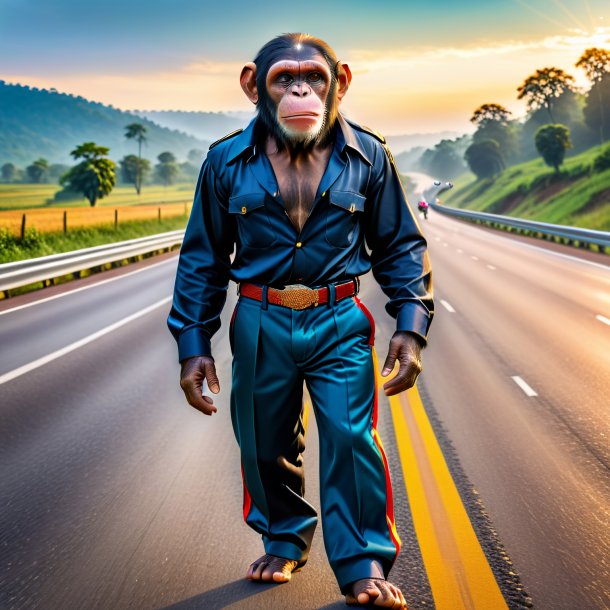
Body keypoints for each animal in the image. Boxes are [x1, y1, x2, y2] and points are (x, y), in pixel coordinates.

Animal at [167, 34, 432, 608]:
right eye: (282, 76)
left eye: (313, 74)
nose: (301, 92)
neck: (295, 148)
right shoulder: (211, 171)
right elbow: (203, 259)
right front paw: (194, 371)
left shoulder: (382, 165)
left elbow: (399, 244)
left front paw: (407, 349)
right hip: (260, 360)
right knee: (266, 441)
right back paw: (280, 551)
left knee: (344, 438)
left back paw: (365, 577)